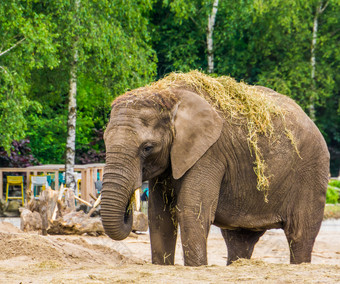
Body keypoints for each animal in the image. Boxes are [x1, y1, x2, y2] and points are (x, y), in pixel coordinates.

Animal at [100, 71, 330, 266]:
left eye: (147, 147)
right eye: (105, 141)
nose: (129, 210)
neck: (169, 94)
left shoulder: (210, 152)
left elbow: (192, 211)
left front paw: (197, 268)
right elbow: (159, 215)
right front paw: (162, 265)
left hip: (312, 169)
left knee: (300, 234)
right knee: (239, 239)